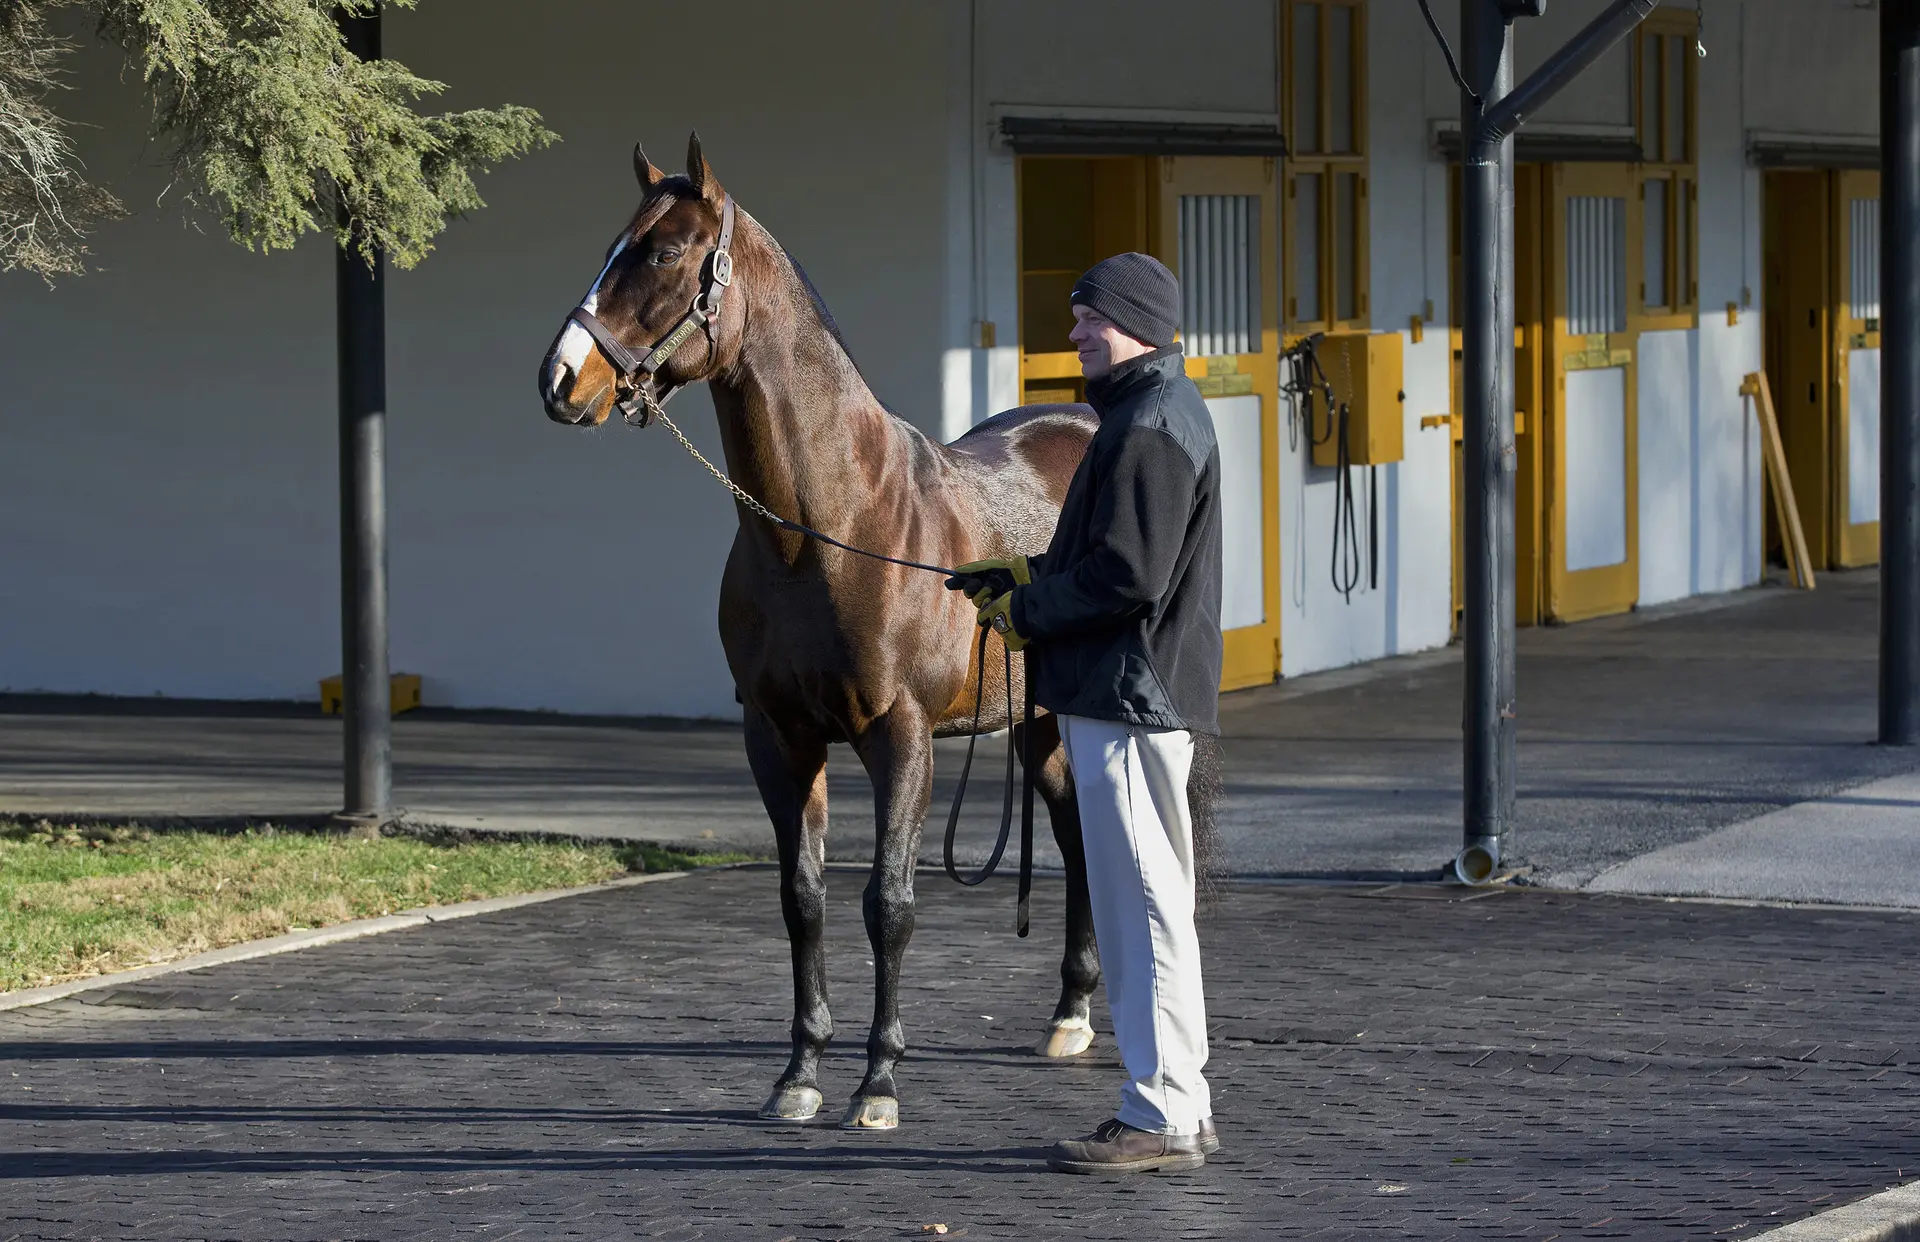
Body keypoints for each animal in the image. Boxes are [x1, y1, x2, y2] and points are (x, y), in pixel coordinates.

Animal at [536, 134, 1102, 1130]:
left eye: (665, 253)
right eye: (614, 247)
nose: (561, 379)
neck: (824, 529)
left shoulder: (900, 738)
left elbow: (889, 904)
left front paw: (878, 1082)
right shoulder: (780, 738)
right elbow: (803, 898)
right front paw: (799, 1074)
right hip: (1035, 722)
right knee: (1071, 829)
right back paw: (1069, 1012)